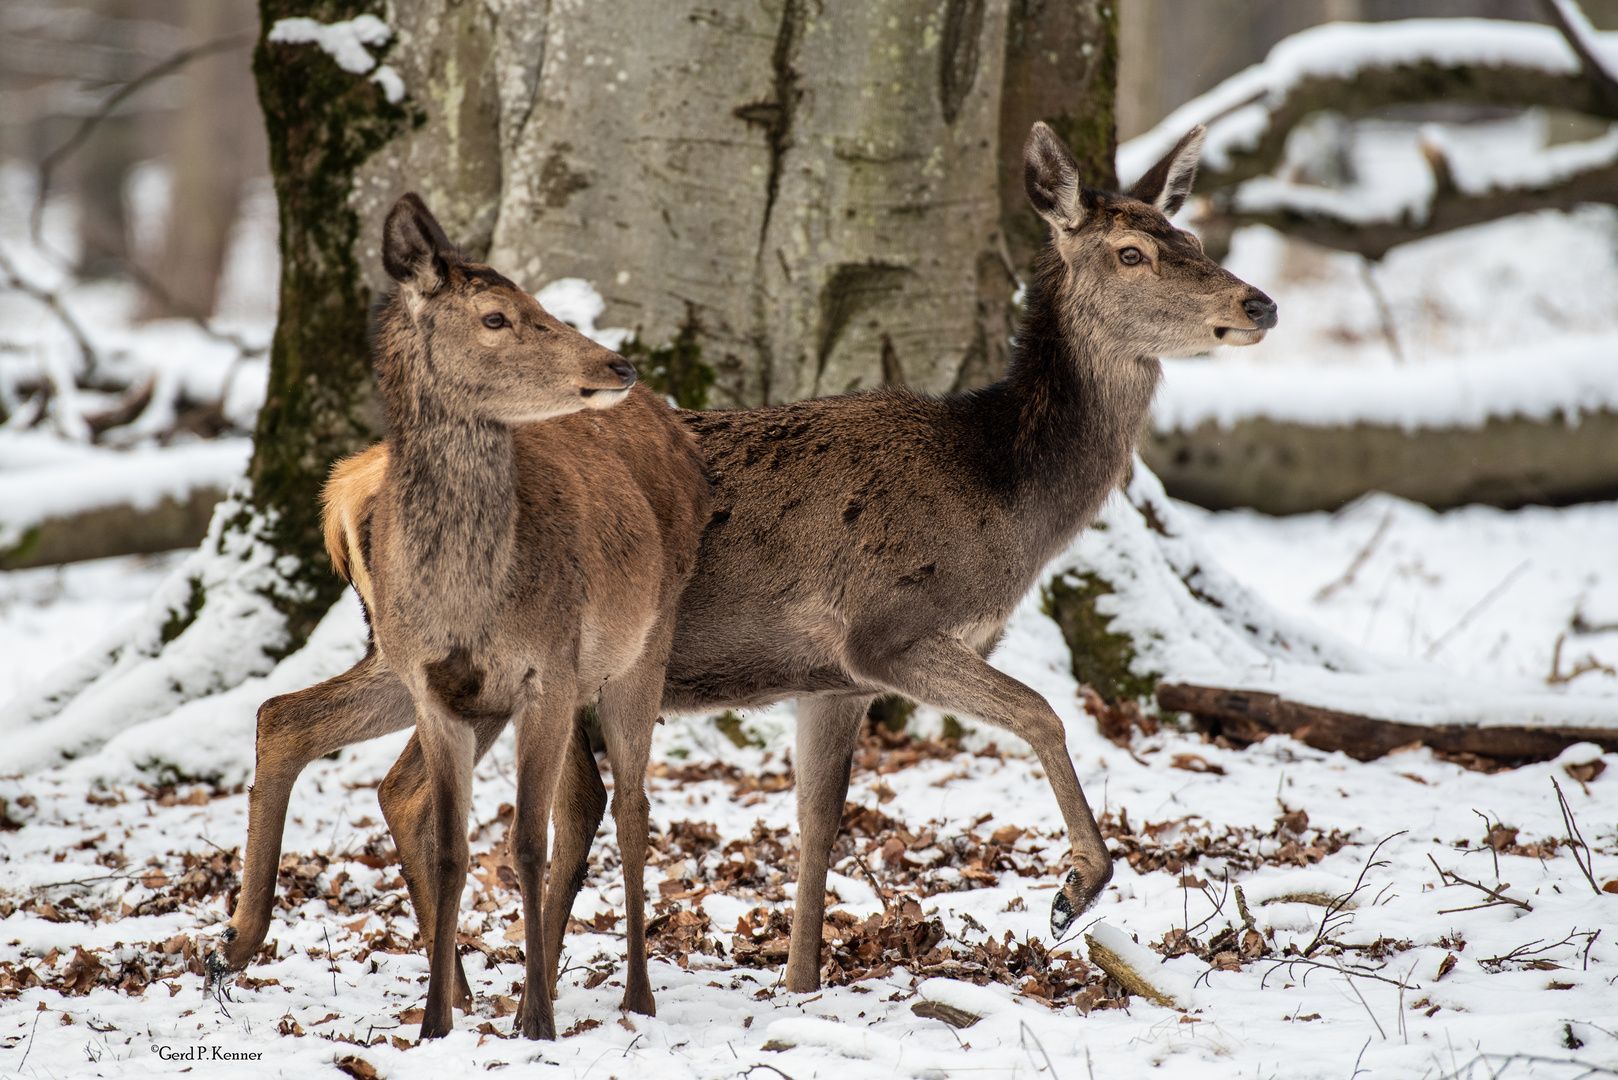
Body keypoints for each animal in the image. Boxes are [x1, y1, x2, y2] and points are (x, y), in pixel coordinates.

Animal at [207, 196, 708, 1049]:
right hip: (410, 660)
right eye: (496, 316)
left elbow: (527, 841)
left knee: (631, 808)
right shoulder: (439, 684)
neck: (476, 597)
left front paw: (535, 1020)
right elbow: (453, 846)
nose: (618, 365)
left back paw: (630, 994)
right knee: (305, 727)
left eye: (538, 299)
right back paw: (246, 942)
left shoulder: (547, 670)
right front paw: (435, 1023)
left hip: (643, 643)